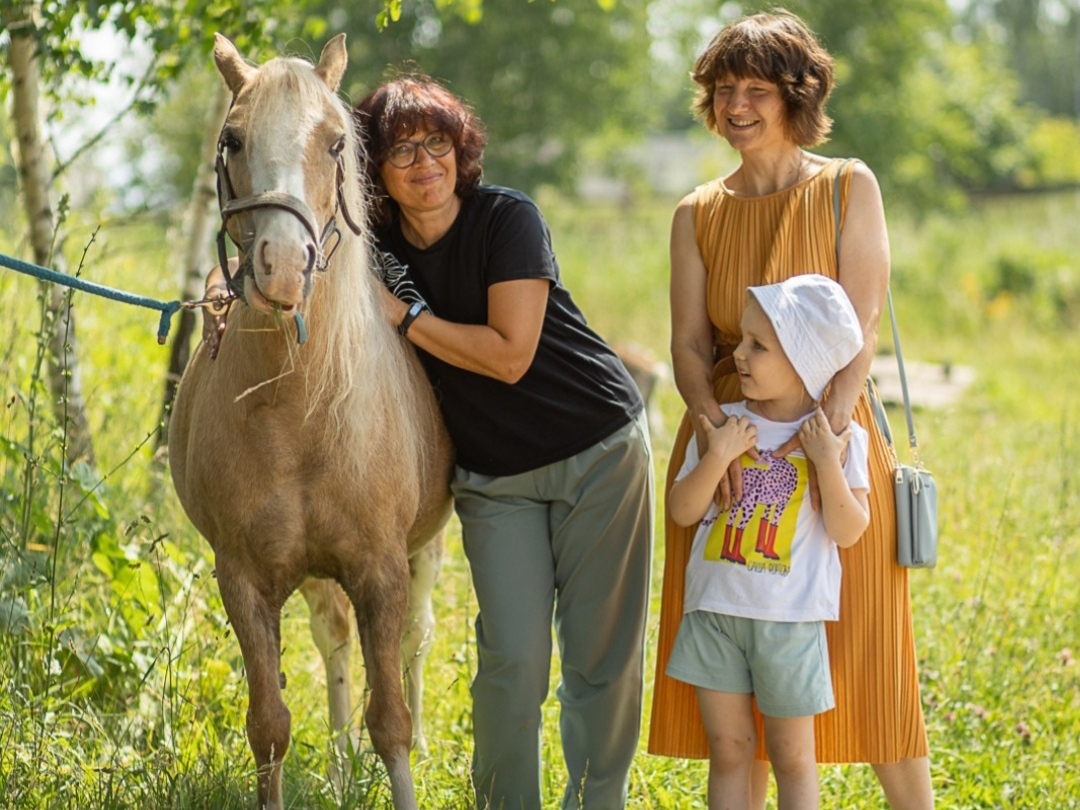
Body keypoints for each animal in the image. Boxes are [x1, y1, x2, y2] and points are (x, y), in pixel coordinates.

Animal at [167, 33, 451, 810]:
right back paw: (341, 765)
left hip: (426, 551)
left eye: (334, 143)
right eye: (232, 139)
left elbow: (390, 719)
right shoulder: (242, 578)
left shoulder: (383, 569)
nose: (284, 265)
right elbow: (269, 724)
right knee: (335, 643)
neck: (297, 412)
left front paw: (402, 756)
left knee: (416, 642)